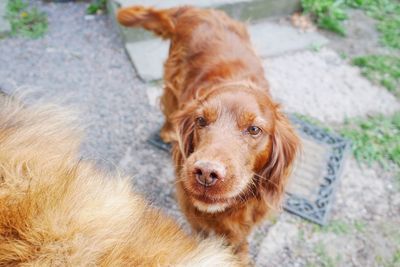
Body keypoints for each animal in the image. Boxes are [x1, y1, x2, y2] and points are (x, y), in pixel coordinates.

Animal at [117, 5, 298, 262]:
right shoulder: (194, 215)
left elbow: (238, 241)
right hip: (173, 82)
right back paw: (167, 131)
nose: (206, 172)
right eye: (201, 121)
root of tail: (195, 10)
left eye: (254, 129)